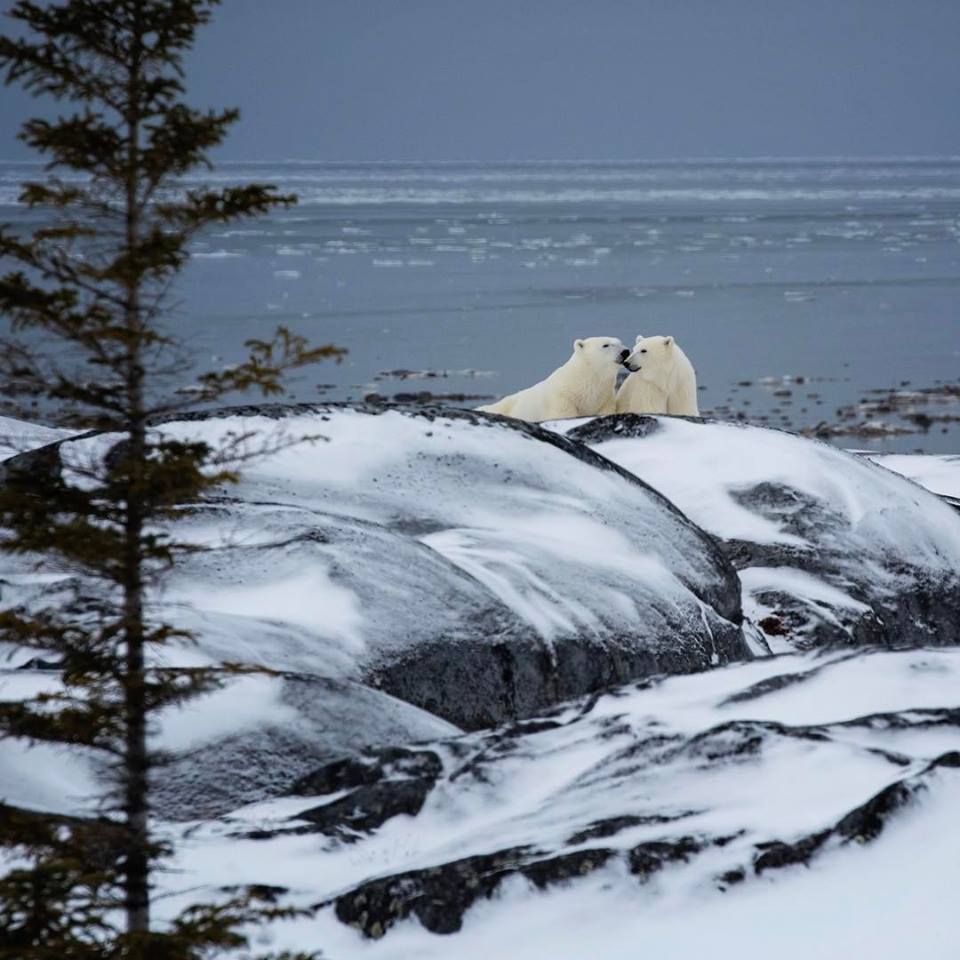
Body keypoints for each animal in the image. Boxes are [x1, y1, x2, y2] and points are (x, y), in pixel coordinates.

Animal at [477, 336, 630, 422]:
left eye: (620, 342)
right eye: (605, 345)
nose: (625, 351)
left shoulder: (604, 400)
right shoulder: (562, 399)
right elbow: (563, 415)